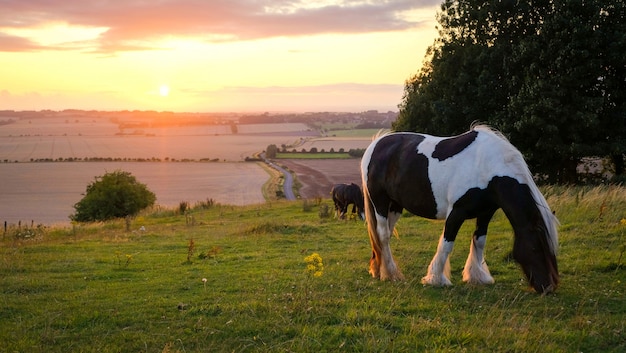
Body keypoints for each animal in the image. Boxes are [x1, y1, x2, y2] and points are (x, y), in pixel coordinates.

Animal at [358, 125, 560, 292]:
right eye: (535, 248)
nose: (548, 287)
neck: (487, 166)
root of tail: (376, 144)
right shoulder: (456, 213)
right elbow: (447, 244)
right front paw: (436, 278)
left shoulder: (486, 213)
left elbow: (479, 241)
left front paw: (477, 276)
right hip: (380, 203)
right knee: (383, 235)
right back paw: (391, 274)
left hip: (395, 206)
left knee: (381, 236)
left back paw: (378, 270)